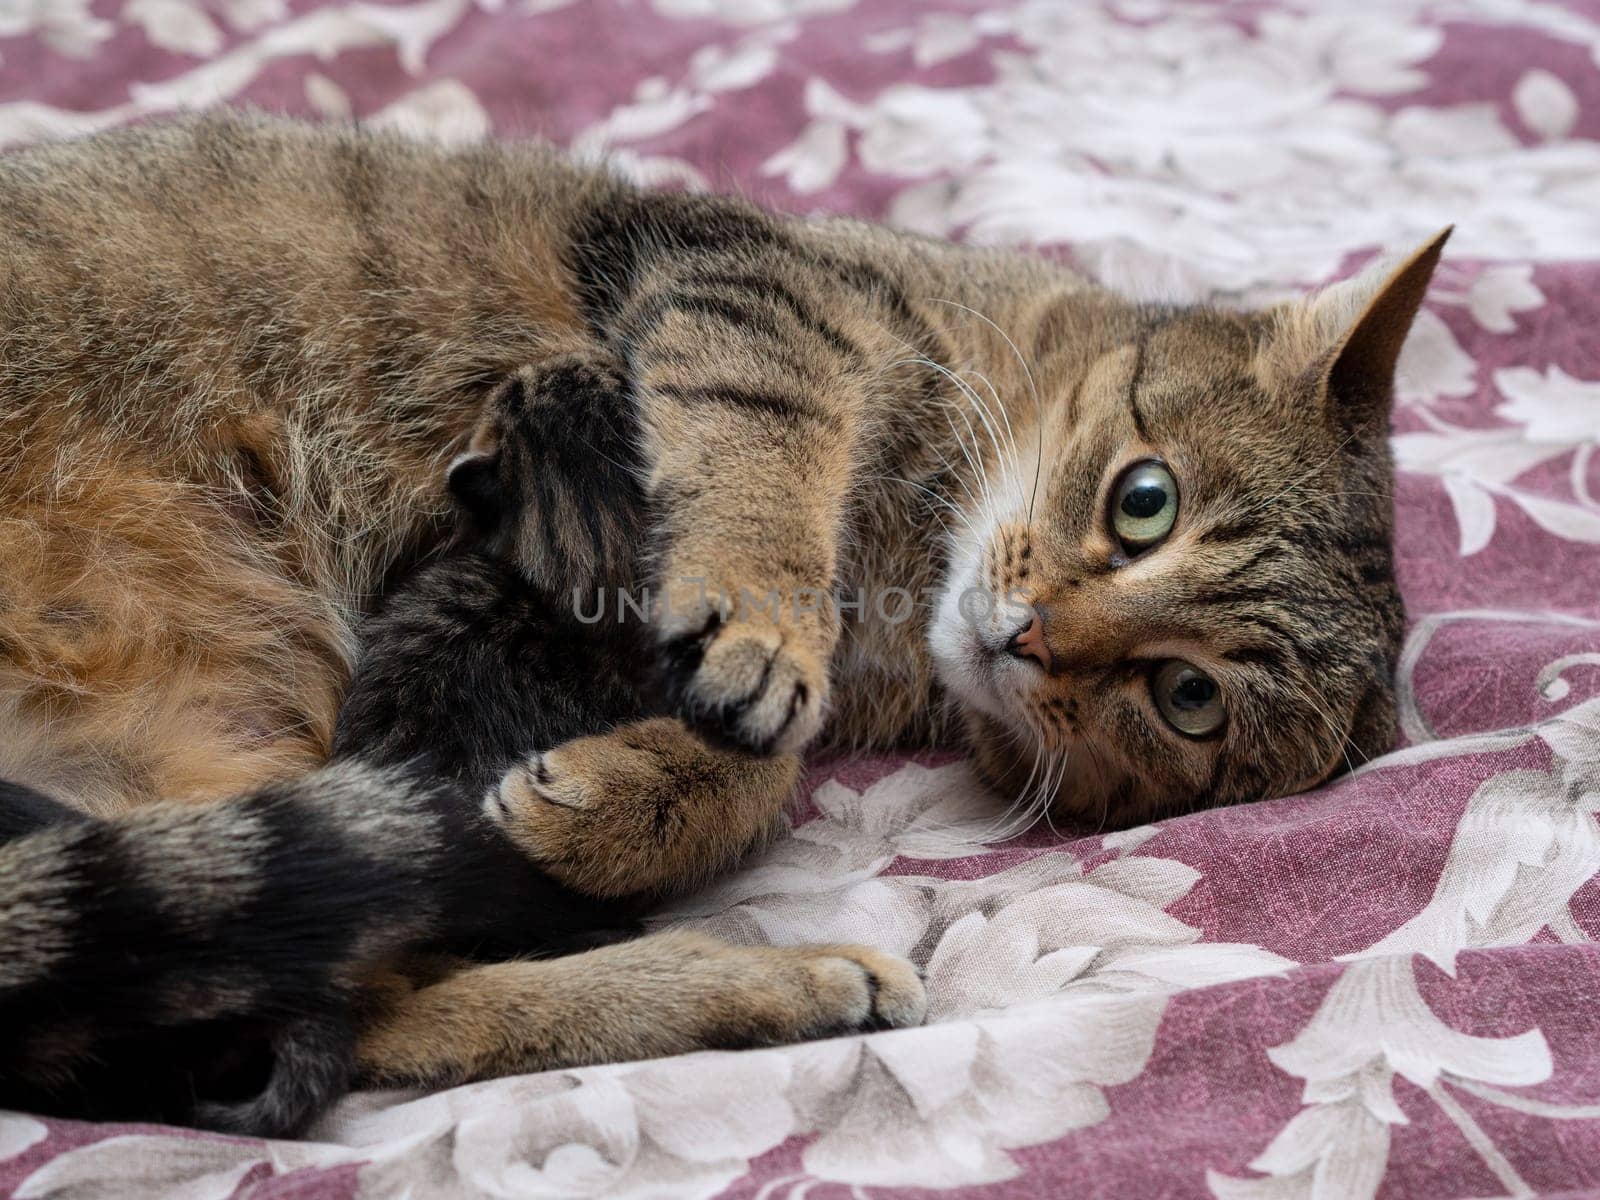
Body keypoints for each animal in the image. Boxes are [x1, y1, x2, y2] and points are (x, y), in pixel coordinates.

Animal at [0, 110, 1446, 1120]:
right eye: (1146, 501)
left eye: (1186, 698)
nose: (1029, 634)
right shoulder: (753, 289)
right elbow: (767, 453)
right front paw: (754, 635)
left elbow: (762, 768)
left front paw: (622, 800)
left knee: (362, 1005)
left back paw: (780, 988)